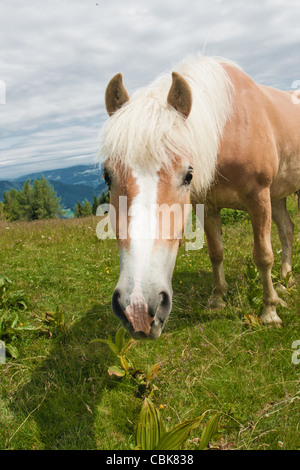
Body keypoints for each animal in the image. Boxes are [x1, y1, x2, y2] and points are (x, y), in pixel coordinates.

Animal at [99, 55, 300, 340]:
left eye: (188, 175)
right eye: (107, 176)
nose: (137, 308)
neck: (229, 128)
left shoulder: (259, 198)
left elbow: (263, 255)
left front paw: (269, 312)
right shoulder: (208, 205)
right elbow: (216, 252)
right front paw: (217, 300)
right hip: (279, 196)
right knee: (287, 230)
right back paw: (285, 279)